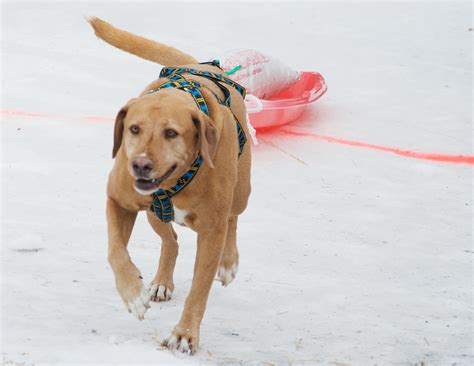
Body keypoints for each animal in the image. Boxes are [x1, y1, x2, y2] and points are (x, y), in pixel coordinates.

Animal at [89, 17, 252, 354]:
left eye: (171, 133)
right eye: (134, 129)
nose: (140, 164)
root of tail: (198, 66)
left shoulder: (211, 233)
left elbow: (199, 290)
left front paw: (185, 334)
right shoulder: (118, 199)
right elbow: (115, 250)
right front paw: (133, 294)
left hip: (242, 192)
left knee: (233, 216)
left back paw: (228, 261)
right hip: (153, 214)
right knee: (171, 240)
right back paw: (162, 281)